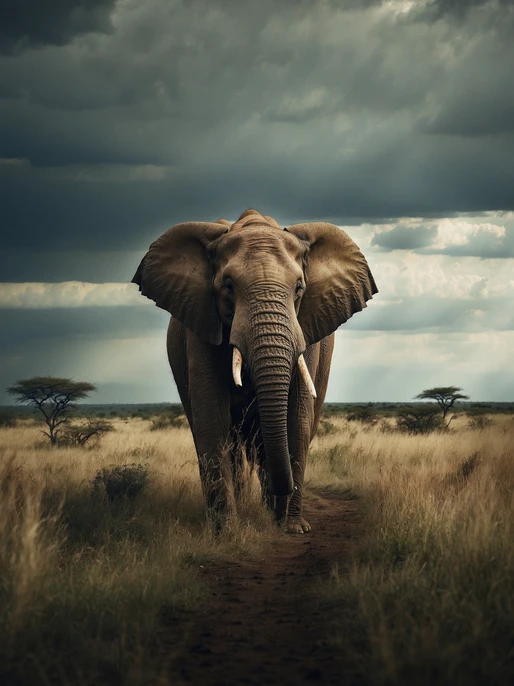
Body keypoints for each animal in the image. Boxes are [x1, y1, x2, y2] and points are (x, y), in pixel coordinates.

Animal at [132, 209, 377, 533]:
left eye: (299, 288)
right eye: (228, 286)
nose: (279, 498)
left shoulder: (307, 329)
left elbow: (297, 420)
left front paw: (293, 527)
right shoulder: (201, 325)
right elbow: (212, 418)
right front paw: (226, 532)